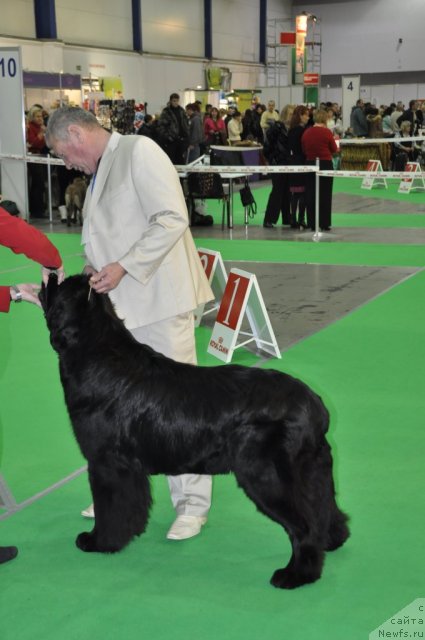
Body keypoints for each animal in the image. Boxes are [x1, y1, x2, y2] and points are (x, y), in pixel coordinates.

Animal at [39, 272, 348, 588]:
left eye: (61, 287)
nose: (51, 273)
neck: (96, 353)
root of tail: (314, 405)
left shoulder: (106, 462)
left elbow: (110, 508)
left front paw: (99, 541)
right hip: (314, 470)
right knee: (324, 510)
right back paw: (331, 543)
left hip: (266, 476)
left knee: (304, 526)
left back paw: (295, 575)